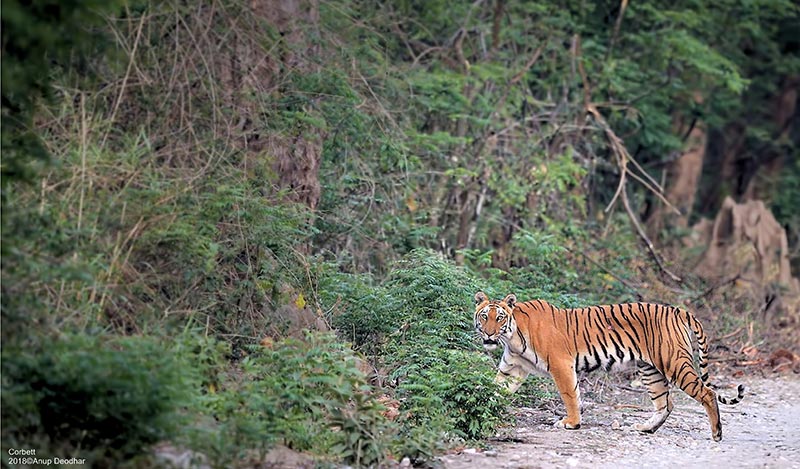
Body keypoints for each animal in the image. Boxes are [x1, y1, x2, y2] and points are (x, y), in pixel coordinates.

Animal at [476, 290, 744, 440]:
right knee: (665, 404)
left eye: (499, 318)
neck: (512, 336)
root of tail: (678, 311)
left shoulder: (562, 365)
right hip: (651, 370)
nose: (488, 334)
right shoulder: (513, 368)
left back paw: (717, 433)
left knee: (707, 393)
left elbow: (569, 395)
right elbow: (495, 389)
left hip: (674, 363)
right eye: (484, 316)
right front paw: (482, 408)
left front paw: (571, 423)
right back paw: (645, 428)